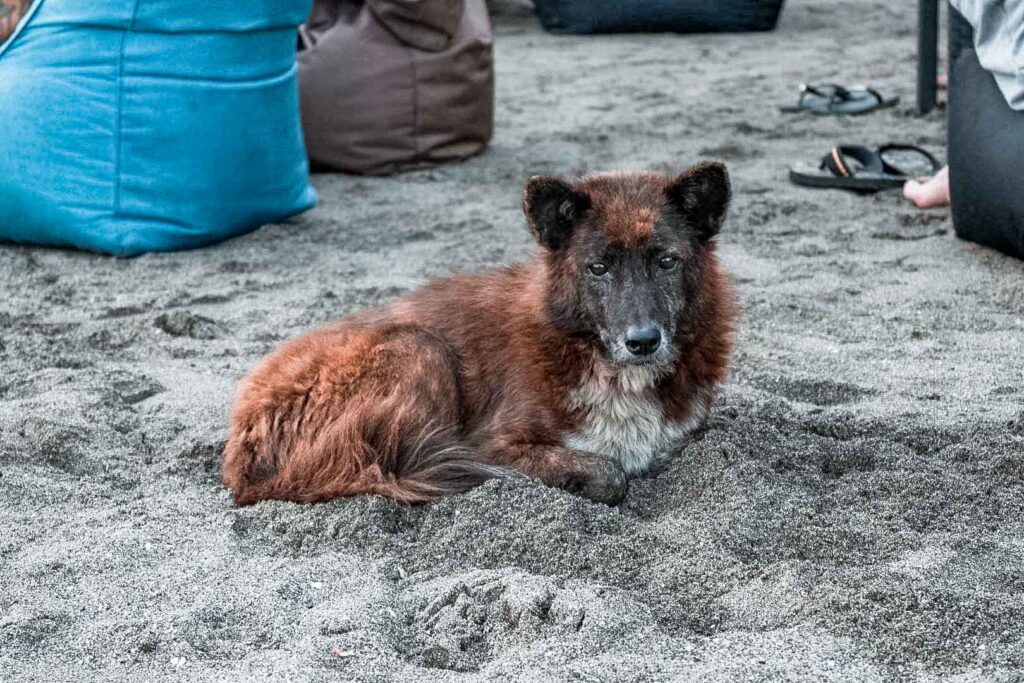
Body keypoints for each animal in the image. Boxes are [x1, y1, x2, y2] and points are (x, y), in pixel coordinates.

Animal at [224, 163, 737, 507]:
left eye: (667, 261)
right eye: (598, 267)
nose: (643, 341)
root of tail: (240, 456)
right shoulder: (489, 444)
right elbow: (608, 472)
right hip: (419, 347)